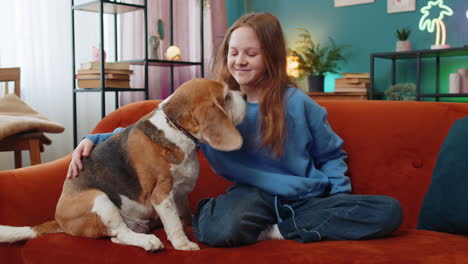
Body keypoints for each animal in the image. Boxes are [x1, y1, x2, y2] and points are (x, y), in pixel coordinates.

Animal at [0, 78, 249, 252]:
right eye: (226, 97)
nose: (246, 95)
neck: (175, 127)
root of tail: (58, 219)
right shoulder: (162, 194)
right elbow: (174, 224)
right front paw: (183, 244)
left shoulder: (180, 195)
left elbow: (185, 217)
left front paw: (190, 227)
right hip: (99, 199)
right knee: (120, 232)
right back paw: (148, 242)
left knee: (116, 237)